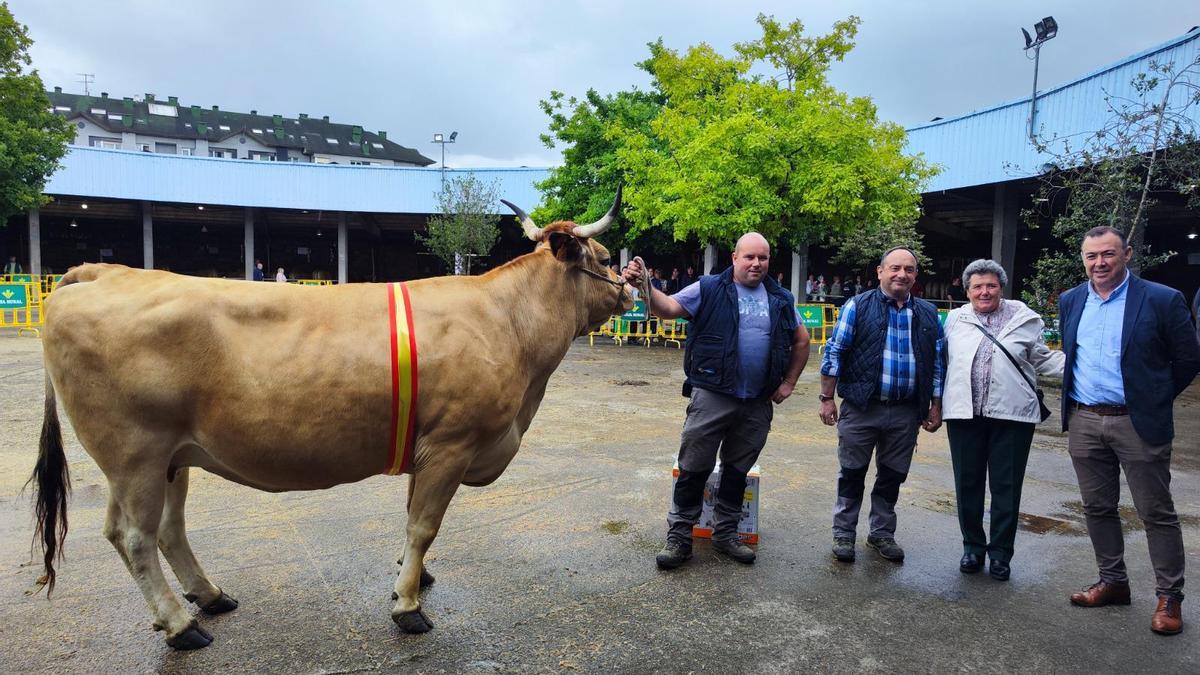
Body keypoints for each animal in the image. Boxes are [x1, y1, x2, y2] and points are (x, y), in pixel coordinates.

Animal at [32, 187, 633, 648]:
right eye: (605, 257)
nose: (631, 288)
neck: (507, 323)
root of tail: (101, 271)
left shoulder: (423, 445)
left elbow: (411, 515)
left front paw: (410, 578)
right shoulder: (451, 443)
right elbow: (424, 524)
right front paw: (408, 606)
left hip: (172, 458)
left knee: (168, 529)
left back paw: (210, 596)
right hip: (134, 452)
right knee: (133, 535)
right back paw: (182, 625)